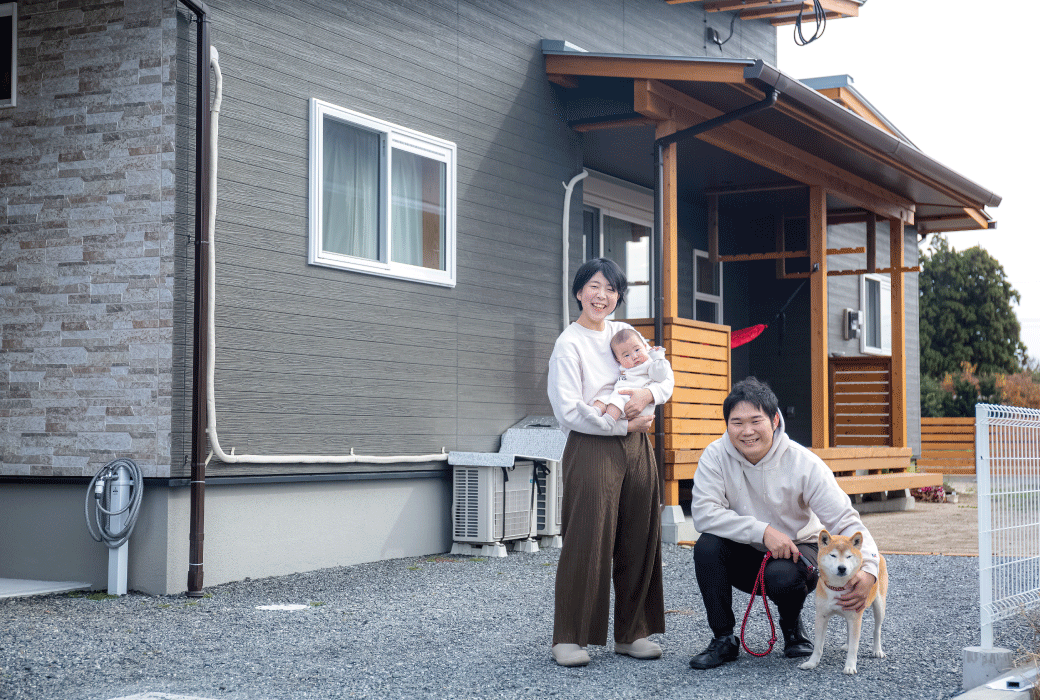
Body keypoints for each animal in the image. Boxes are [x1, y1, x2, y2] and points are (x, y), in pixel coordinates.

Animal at [794, 530, 886, 669]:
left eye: (849, 556)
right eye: (833, 555)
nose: (842, 568)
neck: (837, 588)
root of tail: (878, 554)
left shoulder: (855, 617)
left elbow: (854, 647)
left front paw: (850, 667)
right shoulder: (821, 616)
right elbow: (818, 646)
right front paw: (812, 663)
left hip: (879, 607)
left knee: (877, 630)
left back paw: (877, 650)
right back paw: (847, 644)